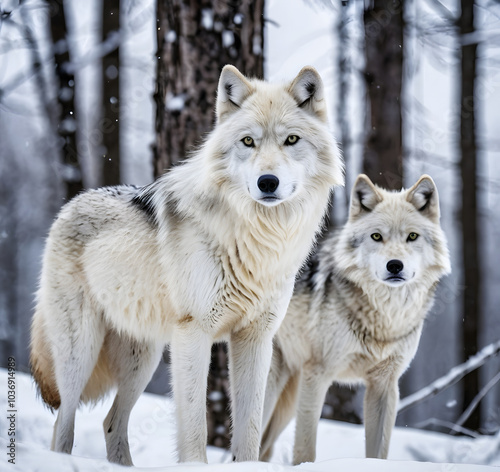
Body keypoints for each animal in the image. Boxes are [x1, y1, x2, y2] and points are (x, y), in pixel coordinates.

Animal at [29, 63, 344, 464]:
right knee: (63, 423)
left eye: (291, 140)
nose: (267, 182)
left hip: (142, 359)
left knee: (111, 422)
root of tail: (69, 205)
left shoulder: (257, 337)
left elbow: (250, 428)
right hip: (79, 353)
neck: (256, 239)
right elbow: (195, 425)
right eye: (248, 142)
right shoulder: (195, 332)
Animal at [260, 173, 452, 464]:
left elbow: (379, 450)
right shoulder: (318, 377)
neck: (385, 318)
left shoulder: (385, 385)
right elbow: (305, 448)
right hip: (272, 388)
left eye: (412, 236)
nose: (395, 265)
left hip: (288, 400)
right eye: (376, 236)